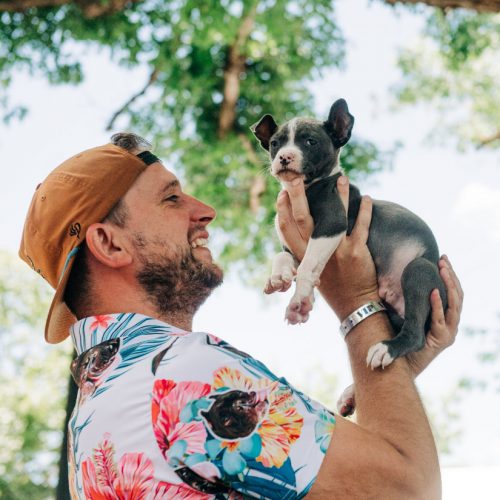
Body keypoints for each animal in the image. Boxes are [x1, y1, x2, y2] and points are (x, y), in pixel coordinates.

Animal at [252, 98, 448, 372]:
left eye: (310, 142)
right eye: (274, 144)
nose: (284, 157)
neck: (305, 189)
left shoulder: (331, 224)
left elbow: (308, 266)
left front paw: (300, 301)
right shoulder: (293, 244)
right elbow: (283, 257)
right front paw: (279, 276)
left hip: (418, 270)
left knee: (415, 333)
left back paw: (387, 348)